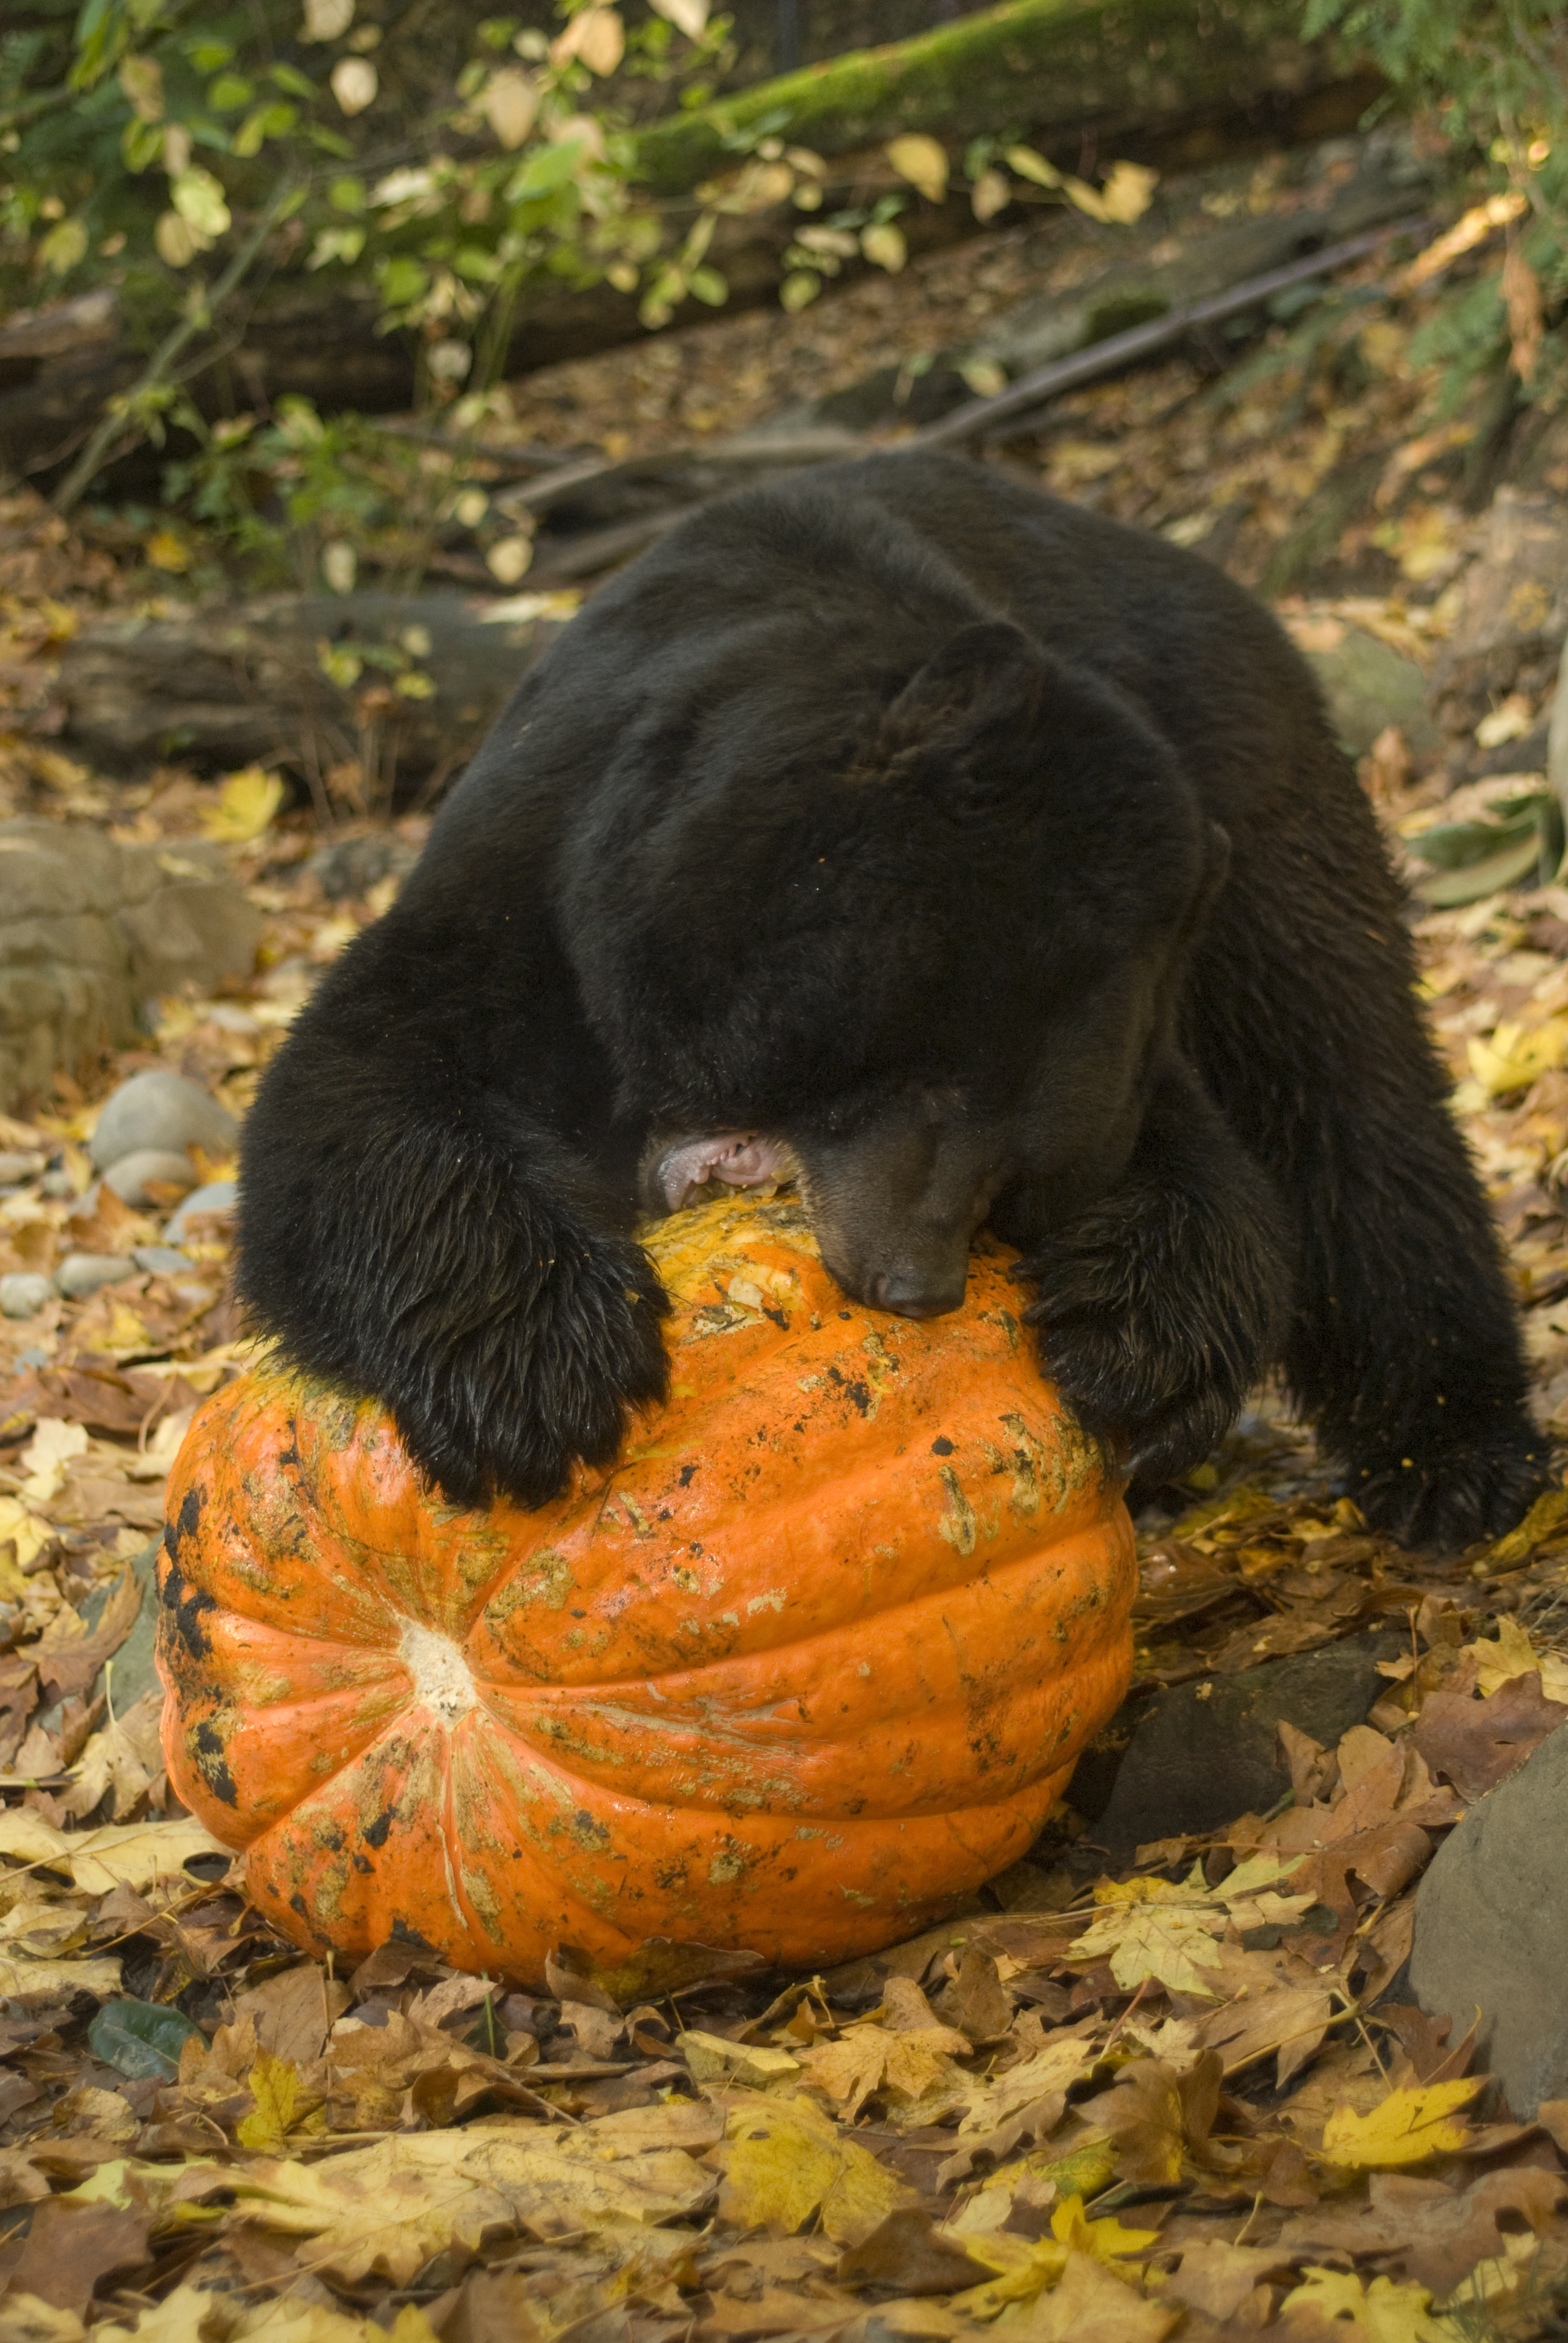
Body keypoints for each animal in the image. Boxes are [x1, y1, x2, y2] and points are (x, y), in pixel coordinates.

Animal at [235, 449, 1546, 1550]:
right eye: (916, 1072)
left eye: (1017, 1175)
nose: (915, 1284)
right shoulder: (528, 882)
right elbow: (359, 1086)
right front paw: (543, 1368)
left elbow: (1205, 1163)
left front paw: (1134, 1345)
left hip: (1251, 775)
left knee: (1343, 1073)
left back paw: (1456, 1453)